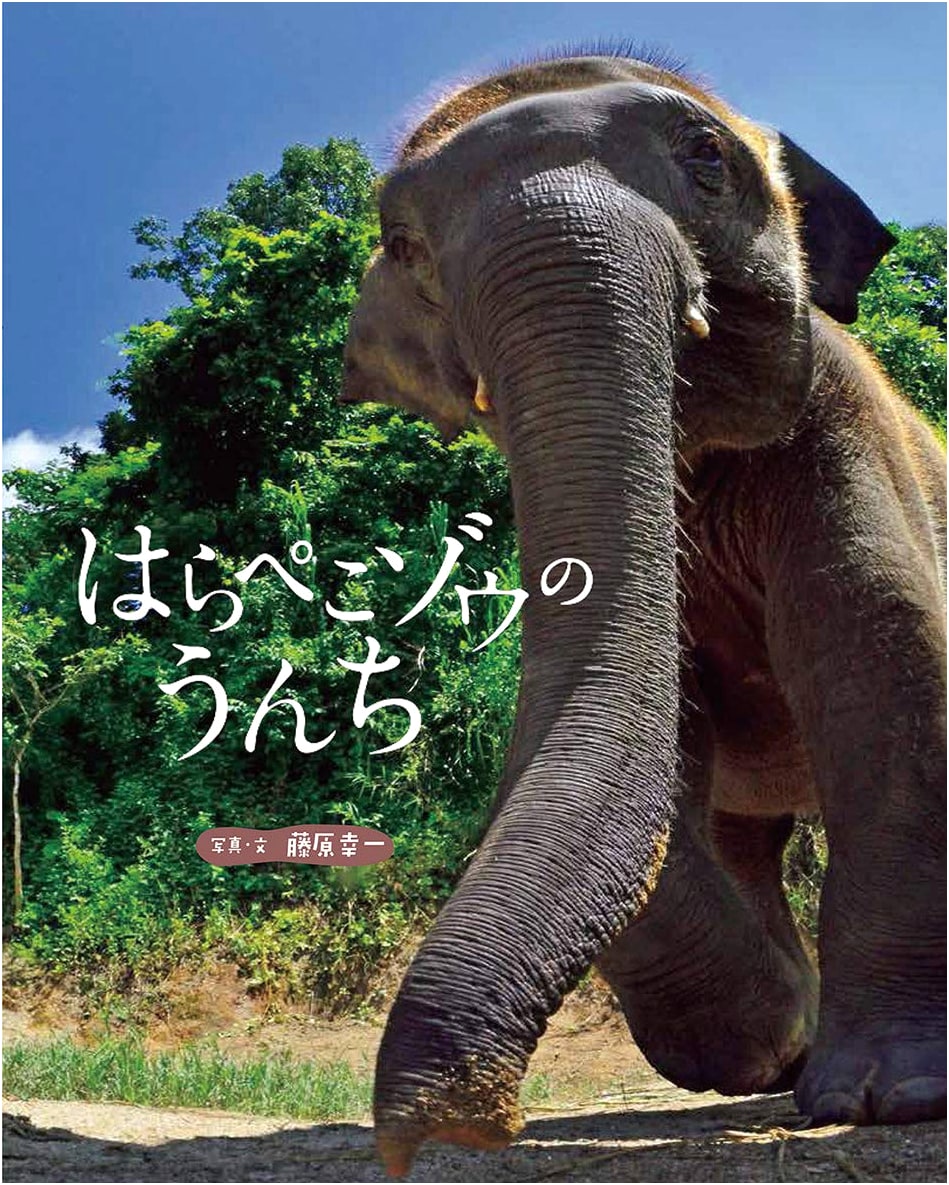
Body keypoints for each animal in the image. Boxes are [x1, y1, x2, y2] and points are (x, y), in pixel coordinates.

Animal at [340, 52, 947, 1176]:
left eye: (706, 156)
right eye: (402, 244)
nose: (458, 1126)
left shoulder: (843, 428)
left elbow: (887, 658)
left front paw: (889, 1097)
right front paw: (767, 1041)